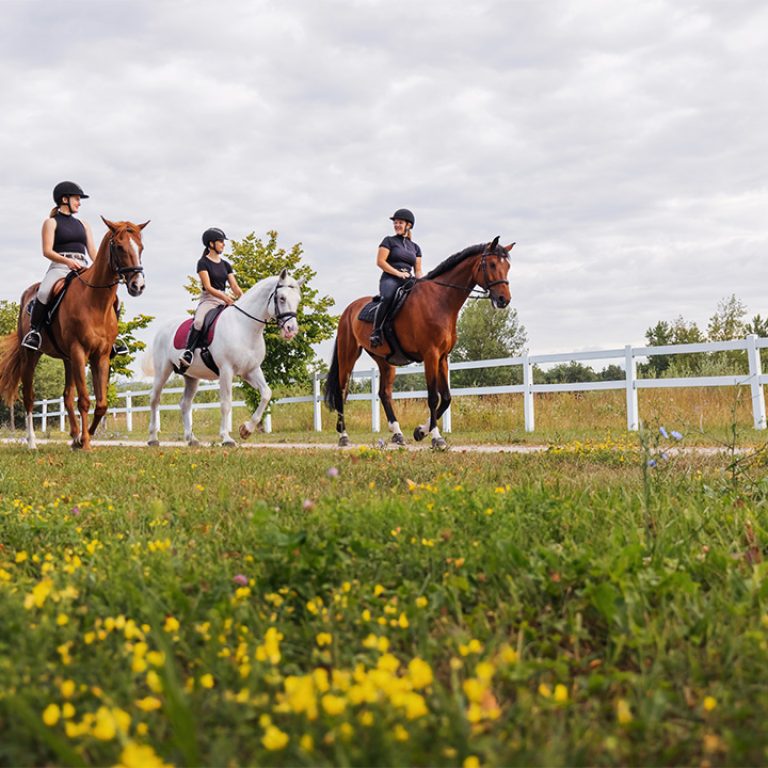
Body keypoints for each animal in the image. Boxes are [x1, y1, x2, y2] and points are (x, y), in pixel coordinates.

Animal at [0, 218, 148, 450]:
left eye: (140, 247)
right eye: (119, 246)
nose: (138, 285)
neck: (95, 301)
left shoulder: (101, 356)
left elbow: (101, 403)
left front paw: (83, 438)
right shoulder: (79, 351)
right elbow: (85, 400)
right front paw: (85, 443)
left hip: (67, 359)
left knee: (67, 396)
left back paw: (74, 436)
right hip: (31, 355)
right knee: (29, 397)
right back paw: (32, 443)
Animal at [144, 272, 304, 448]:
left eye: (298, 300)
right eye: (281, 298)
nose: (291, 330)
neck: (244, 326)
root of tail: (163, 329)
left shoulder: (251, 371)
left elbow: (266, 394)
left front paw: (246, 430)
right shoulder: (226, 371)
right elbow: (226, 404)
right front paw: (226, 438)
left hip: (191, 377)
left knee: (185, 403)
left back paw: (191, 439)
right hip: (163, 371)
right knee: (154, 399)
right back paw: (153, 438)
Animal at [320, 237, 512, 448]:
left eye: (507, 266)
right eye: (492, 264)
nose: (504, 299)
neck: (440, 300)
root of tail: (348, 310)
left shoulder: (442, 357)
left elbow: (446, 398)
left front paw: (420, 431)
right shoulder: (430, 355)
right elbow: (433, 397)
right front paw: (436, 437)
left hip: (384, 361)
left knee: (384, 393)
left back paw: (397, 434)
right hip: (348, 355)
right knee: (341, 391)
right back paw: (343, 436)